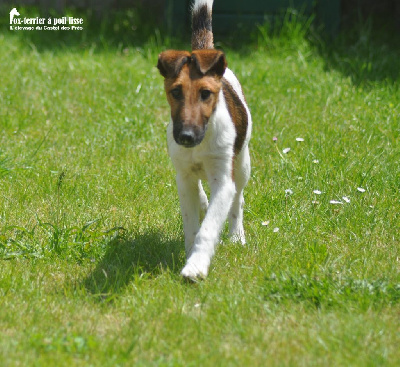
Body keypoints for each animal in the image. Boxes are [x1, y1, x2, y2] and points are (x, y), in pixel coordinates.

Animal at [157, 0, 253, 280]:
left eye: (206, 94)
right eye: (175, 92)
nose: (186, 137)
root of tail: (205, 50)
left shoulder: (223, 179)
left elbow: (208, 227)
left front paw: (196, 266)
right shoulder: (184, 173)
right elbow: (192, 224)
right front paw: (190, 255)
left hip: (242, 164)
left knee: (238, 201)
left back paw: (237, 236)